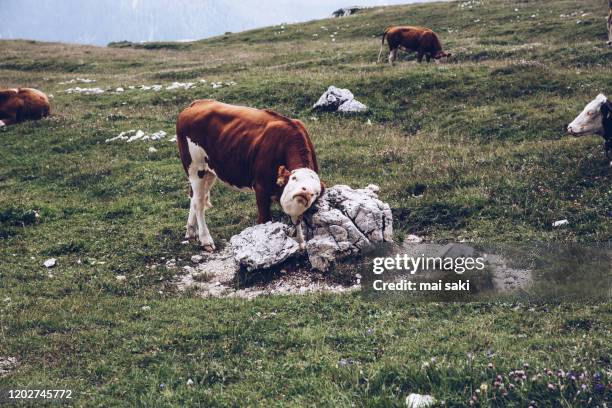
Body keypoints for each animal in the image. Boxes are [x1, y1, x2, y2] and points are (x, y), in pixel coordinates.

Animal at [176, 100, 322, 250]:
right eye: (294, 178)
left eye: (316, 192)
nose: (306, 192)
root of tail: (197, 103)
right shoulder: (261, 189)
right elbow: (264, 220)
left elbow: (297, 220)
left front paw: (301, 242)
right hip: (195, 168)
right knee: (199, 202)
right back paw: (206, 240)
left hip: (209, 171)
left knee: (194, 196)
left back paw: (191, 232)